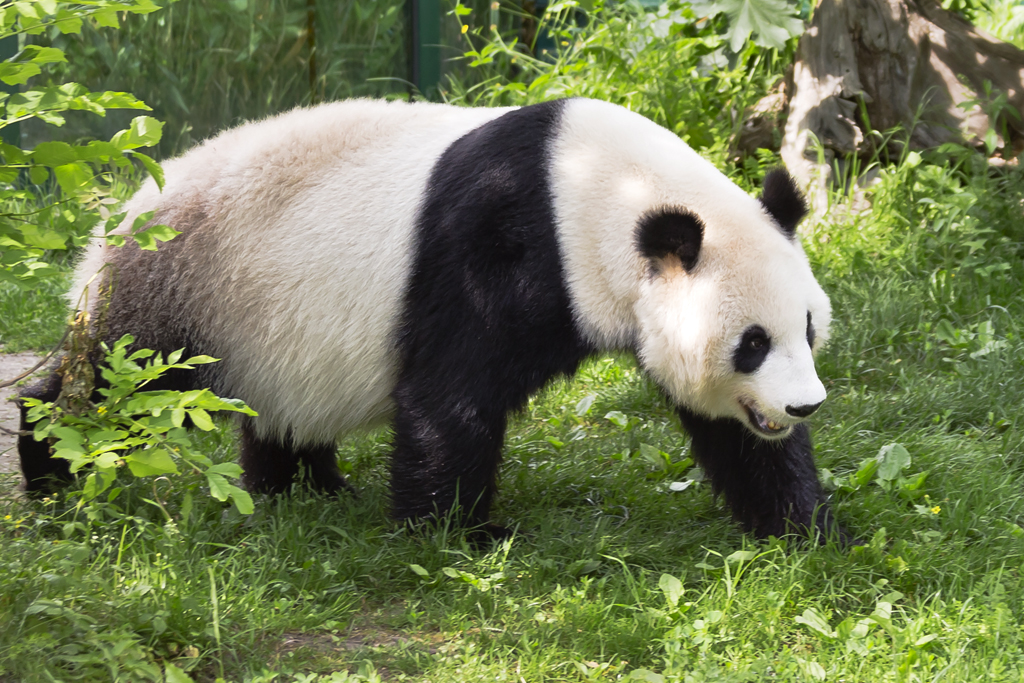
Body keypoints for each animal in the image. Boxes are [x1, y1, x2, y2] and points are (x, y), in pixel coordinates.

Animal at [18, 97, 842, 541]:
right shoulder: (501, 239)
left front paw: (809, 529)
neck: (601, 191)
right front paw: (458, 534)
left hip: (264, 321)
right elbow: (451, 395)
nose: (804, 405)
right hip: (181, 282)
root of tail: (119, 218)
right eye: (751, 343)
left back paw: (304, 489)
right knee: (118, 381)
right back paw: (51, 465)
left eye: (805, 330)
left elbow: (738, 439)